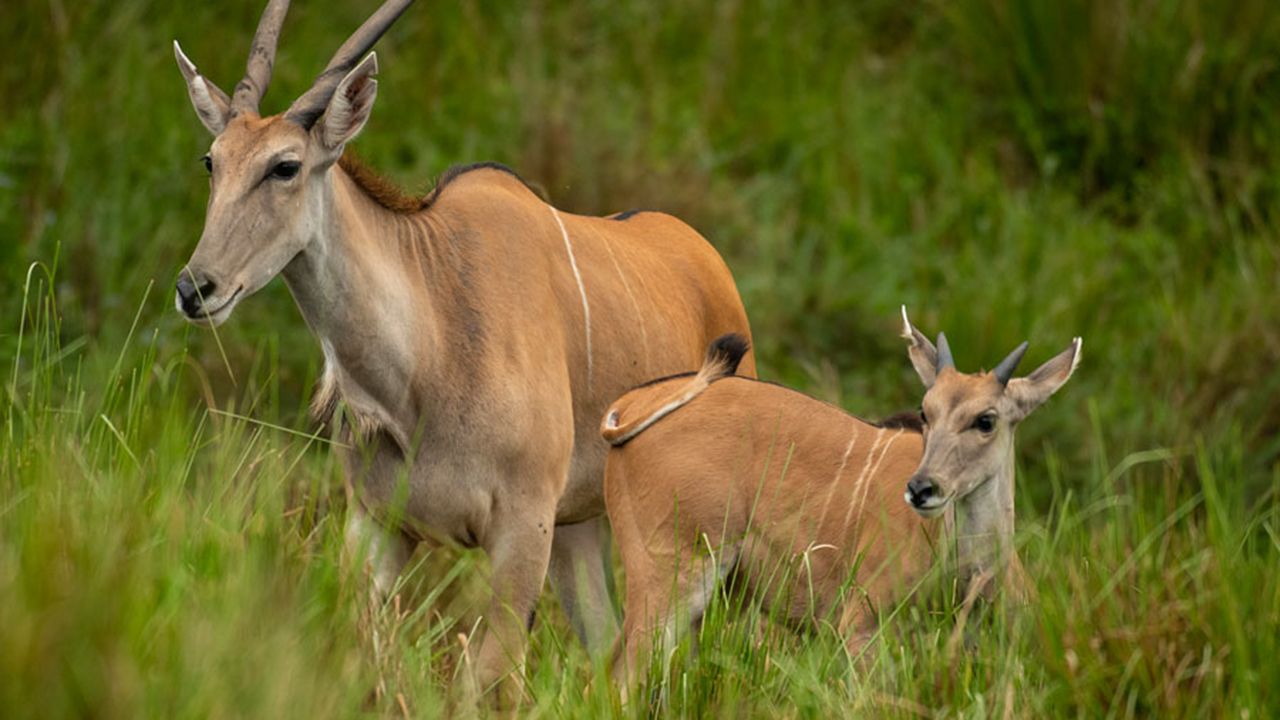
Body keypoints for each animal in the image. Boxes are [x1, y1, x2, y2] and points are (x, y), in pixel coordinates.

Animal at [168, 0, 747, 696]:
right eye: (211, 161)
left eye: (284, 166)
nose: (195, 288)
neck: (429, 353)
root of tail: (706, 259)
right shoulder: (377, 523)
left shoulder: (522, 530)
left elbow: (485, 681)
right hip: (579, 532)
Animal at [601, 307, 1080, 681]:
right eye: (925, 411)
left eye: (986, 420)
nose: (922, 488)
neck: (968, 578)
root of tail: (629, 406)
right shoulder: (861, 626)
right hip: (671, 570)